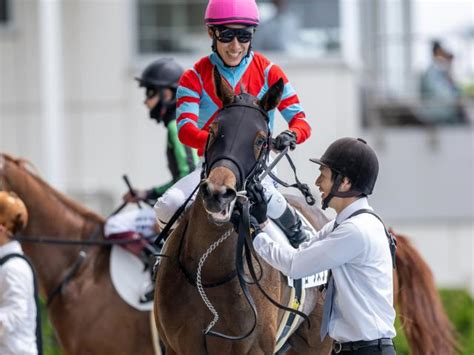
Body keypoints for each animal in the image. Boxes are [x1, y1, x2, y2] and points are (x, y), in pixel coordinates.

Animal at [154, 70, 458, 355]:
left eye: (261, 140)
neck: (207, 273)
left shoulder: (254, 348)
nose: (218, 193)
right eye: (214, 131)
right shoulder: (176, 346)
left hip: (317, 343)